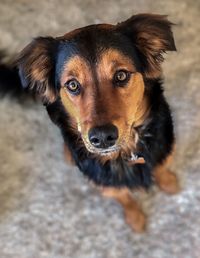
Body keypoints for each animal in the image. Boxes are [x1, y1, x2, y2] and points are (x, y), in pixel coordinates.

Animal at [0, 13, 179, 232]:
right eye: (72, 85)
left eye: (121, 75)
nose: (102, 137)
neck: (124, 154)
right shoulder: (105, 185)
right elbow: (125, 198)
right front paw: (135, 218)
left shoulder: (164, 151)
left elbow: (161, 168)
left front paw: (169, 182)